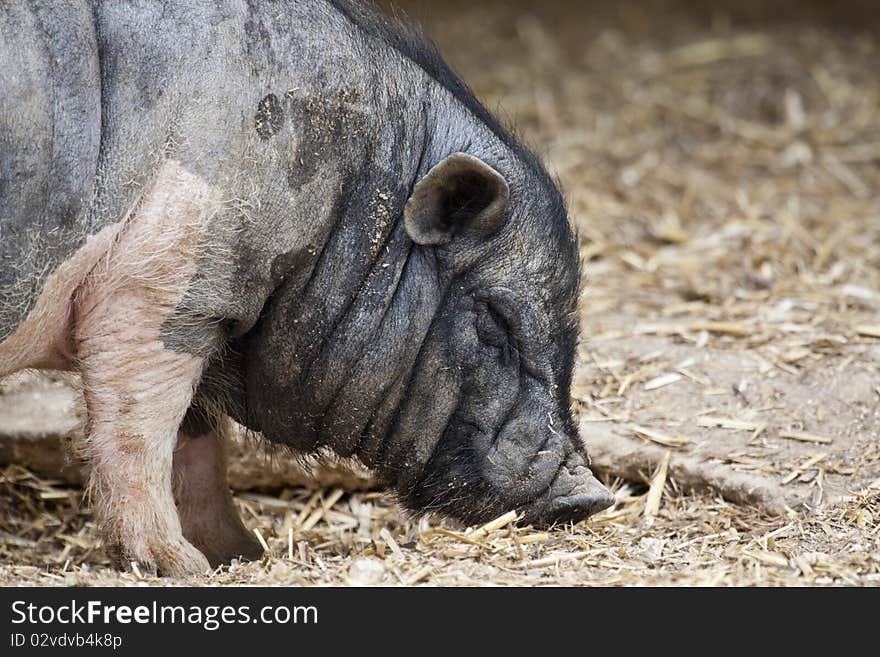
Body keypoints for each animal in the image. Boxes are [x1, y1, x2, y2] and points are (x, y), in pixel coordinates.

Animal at [0, 0, 612, 576]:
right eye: (496, 323)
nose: (592, 496)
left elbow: (198, 440)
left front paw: (240, 555)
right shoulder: (153, 289)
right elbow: (142, 433)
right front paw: (183, 566)